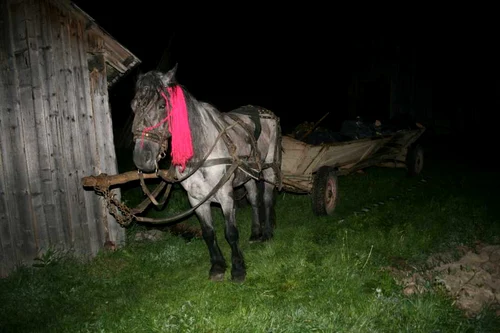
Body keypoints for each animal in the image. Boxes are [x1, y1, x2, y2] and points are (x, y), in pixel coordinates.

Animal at [131, 64, 284, 280]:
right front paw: (218, 266)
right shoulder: (196, 198)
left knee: (267, 200)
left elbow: (231, 232)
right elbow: (208, 232)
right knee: (254, 199)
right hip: (247, 174)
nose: (141, 158)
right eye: (133, 106)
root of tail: (267, 113)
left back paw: (268, 233)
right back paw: (256, 234)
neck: (202, 151)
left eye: (162, 105)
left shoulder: (225, 195)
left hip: (269, 167)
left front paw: (238, 268)